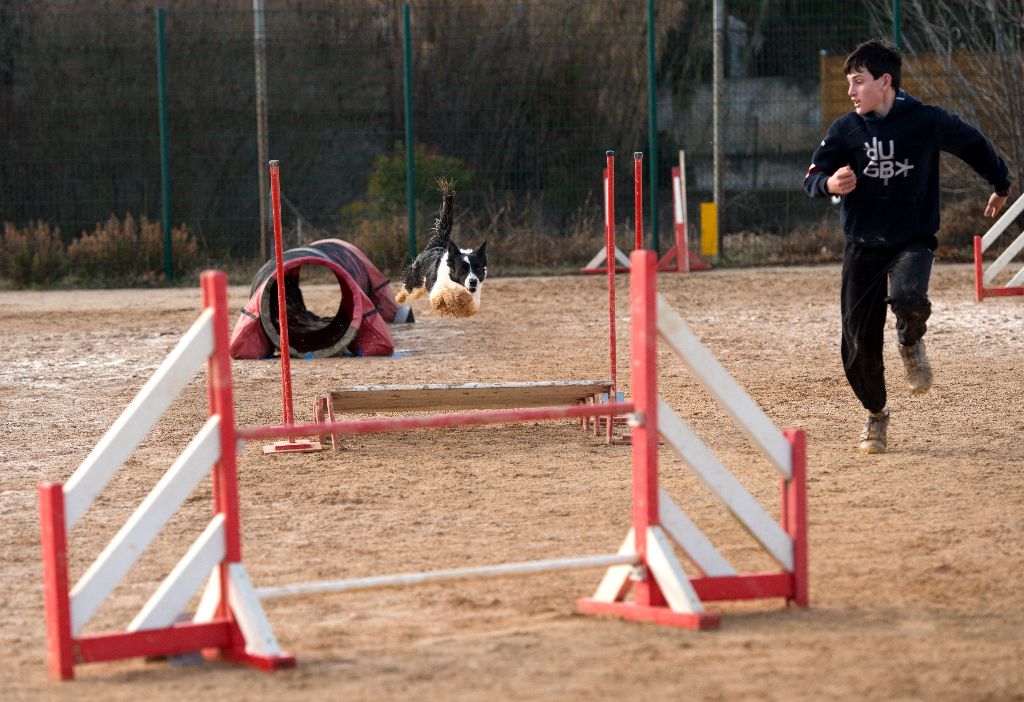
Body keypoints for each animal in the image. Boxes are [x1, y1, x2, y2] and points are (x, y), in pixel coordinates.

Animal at [393, 177, 485, 321]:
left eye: (478, 269)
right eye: (462, 269)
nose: (473, 282)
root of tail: (436, 245)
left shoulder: (473, 301)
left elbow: (469, 306)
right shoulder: (437, 291)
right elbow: (443, 296)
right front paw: (449, 304)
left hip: (422, 285)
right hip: (416, 279)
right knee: (407, 287)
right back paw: (399, 298)